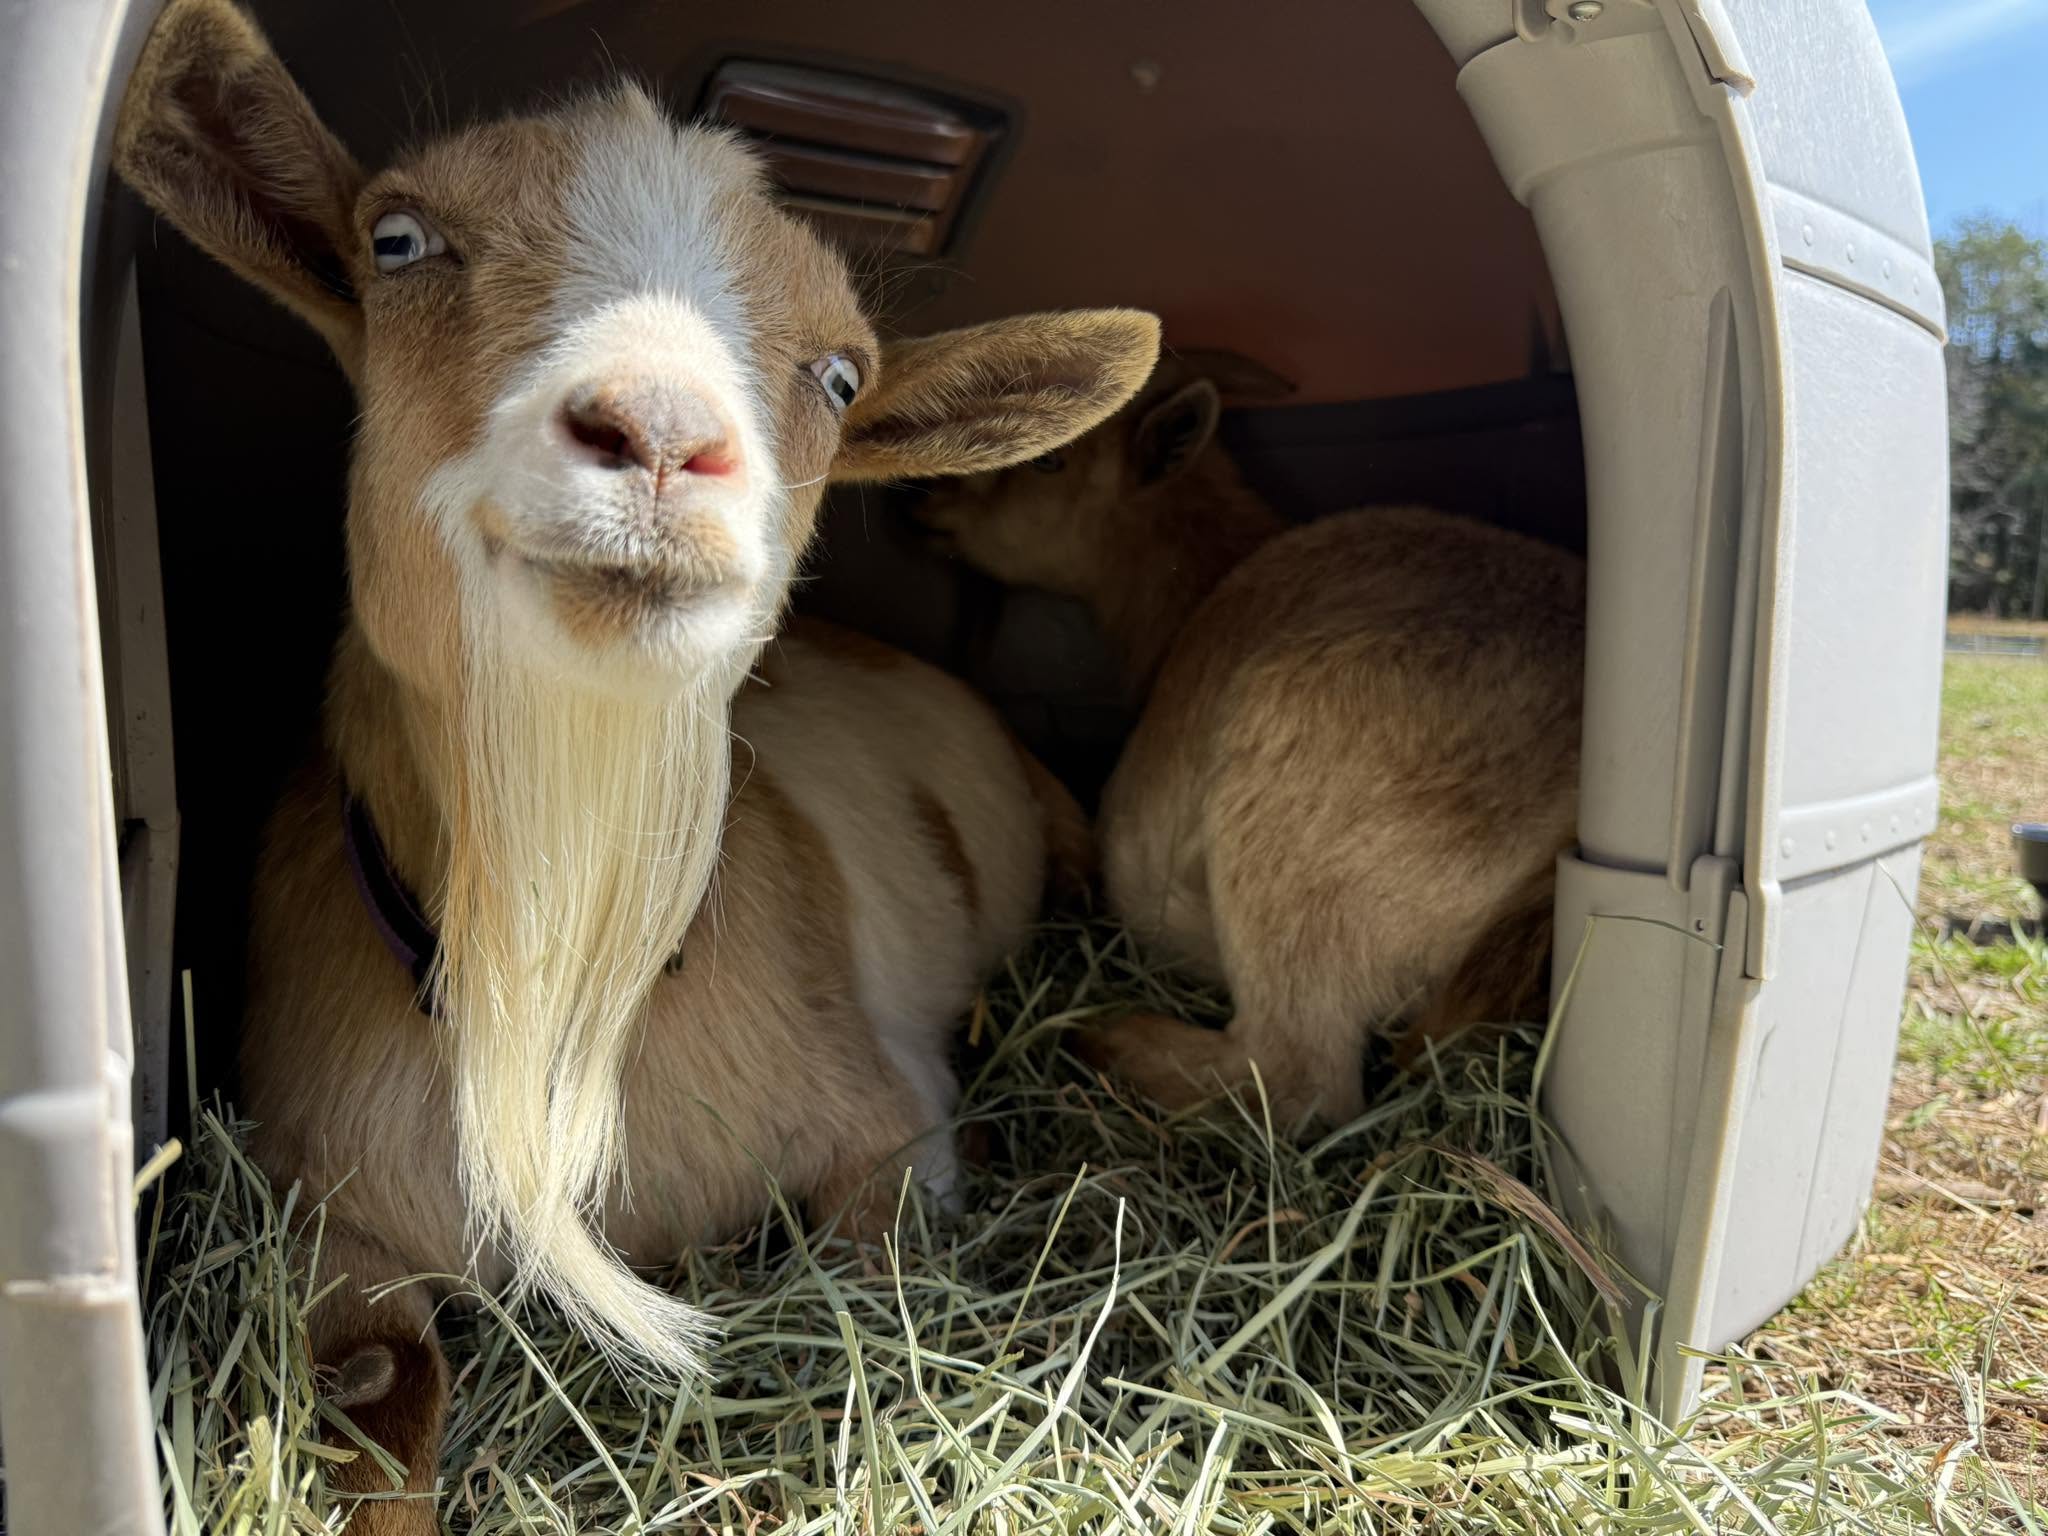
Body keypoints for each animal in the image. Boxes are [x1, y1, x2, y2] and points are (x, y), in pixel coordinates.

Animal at [115, 2, 1158, 1528]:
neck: (564, 985)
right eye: (398, 241)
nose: (662, 437)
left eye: (839, 375)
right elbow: (382, 1401)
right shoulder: (326, 1210)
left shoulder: (892, 1125)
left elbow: (878, 1291)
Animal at [920, 354, 1584, 1126]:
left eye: (1047, 459)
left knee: (1302, 1078)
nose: (926, 496)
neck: (1198, 589)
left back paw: (1110, 1043)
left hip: (1293, 850)